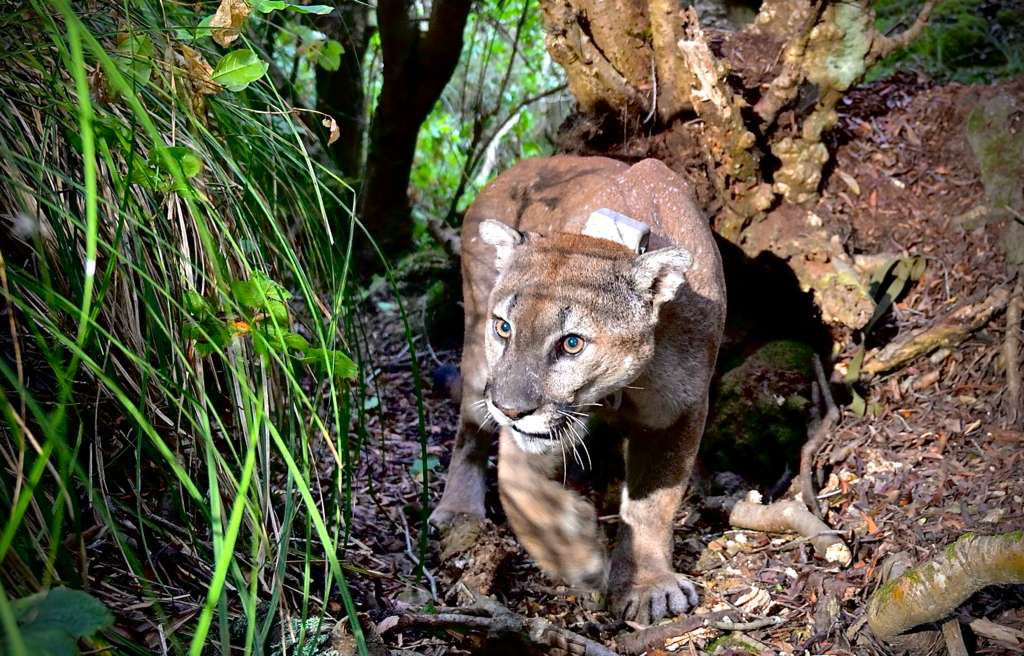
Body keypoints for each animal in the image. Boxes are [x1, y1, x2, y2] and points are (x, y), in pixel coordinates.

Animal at [430, 155, 726, 624]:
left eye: (572, 343)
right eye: (504, 327)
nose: (510, 409)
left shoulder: (678, 411)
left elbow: (652, 505)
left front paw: (648, 585)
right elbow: (518, 483)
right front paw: (573, 551)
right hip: (476, 359)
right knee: (470, 431)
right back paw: (459, 510)